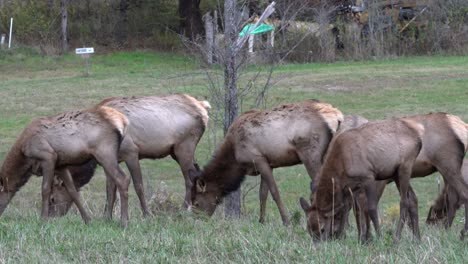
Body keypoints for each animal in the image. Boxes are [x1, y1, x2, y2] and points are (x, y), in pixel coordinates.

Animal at [0, 106, 130, 226]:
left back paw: (124, 221)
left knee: (122, 178)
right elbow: (73, 192)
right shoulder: (61, 165)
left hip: (104, 151)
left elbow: (45, 189)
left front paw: (43, 219)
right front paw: (87, 220)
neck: (25, 157)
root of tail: (122, 121)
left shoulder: (48, 156)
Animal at [48, 94, 210, 218]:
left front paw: (147, 214)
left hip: (185, 145)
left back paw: (184, 210)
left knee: (189, 179)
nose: (52, 216)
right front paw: (106, 217)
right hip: (175, 151)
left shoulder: (131, 152)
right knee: (197, 173)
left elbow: (138, 186)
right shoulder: (109, 159)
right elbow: (110, 190)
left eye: (52, 198)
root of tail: (203, 107)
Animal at [187, 99, 344, 225]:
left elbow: (274, 192)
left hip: (310, 153)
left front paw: (286, 221)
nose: (197, 220)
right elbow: (262, 194)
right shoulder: (268, 163)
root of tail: (337, 117)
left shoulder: (258, 159)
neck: (235, 159)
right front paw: (261, 221)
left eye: (196, 203)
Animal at [300, 112, 468, 242]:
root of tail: (463, 128)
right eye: (308, 229)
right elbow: (352, 207)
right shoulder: (353, 186)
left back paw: (457, 234)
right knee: (445, 198)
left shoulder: (374, 180)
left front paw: (369, 237)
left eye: (321, 229)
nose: (331, 237)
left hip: (446, 165)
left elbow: (367, 207)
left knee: (460, 195)